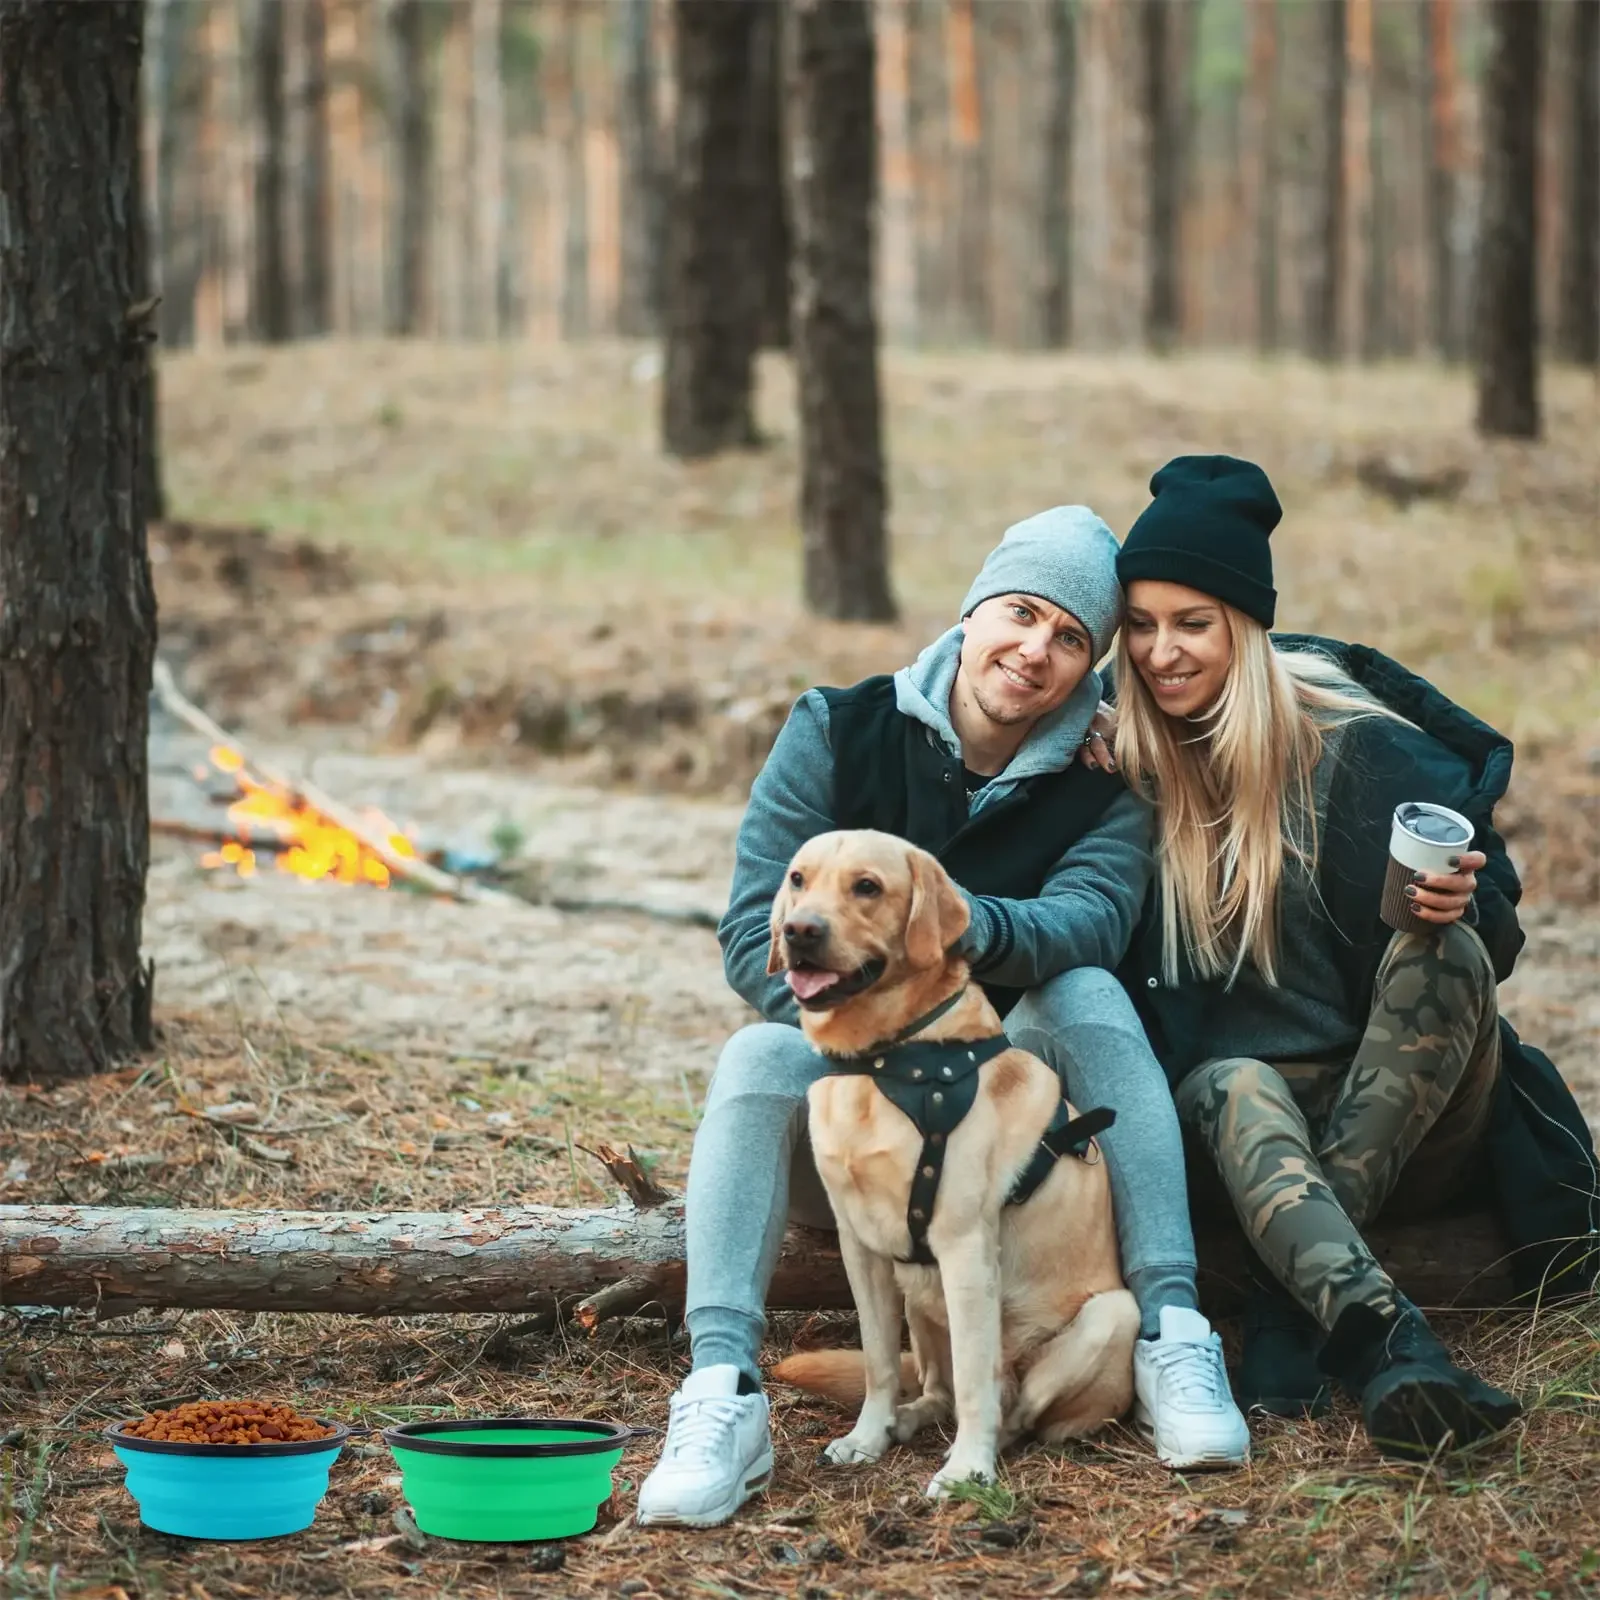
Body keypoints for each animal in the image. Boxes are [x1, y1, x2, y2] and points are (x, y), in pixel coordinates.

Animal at [764, 832, 1132, 1491]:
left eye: (867, 886)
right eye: (798, 879)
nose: (799, 930)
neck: (886, 1061)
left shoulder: (963, 1246)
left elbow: (976, 1382)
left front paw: (966, 1468)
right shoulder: (862, 1247)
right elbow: (880, 1362)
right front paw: (867, 1435)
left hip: (1112, 1315)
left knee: (1014, 1404)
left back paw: (982, 1450)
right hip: (918, 1297)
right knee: (938, 1387)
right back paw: (905, 1421)